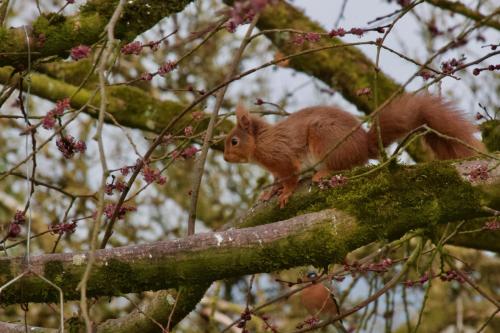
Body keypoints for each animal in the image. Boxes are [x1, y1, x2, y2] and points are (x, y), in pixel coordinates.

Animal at [223, 93, 484, 206]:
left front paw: (285, 193)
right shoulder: (275, 166)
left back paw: (322, 173)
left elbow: (290, 177)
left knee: (341, 166)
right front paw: (269, 192)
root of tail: (363, 147)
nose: (225, 158)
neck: (261, 143)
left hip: (325, 140)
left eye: (234, 141)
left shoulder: (283, 157)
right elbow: (276, 179)